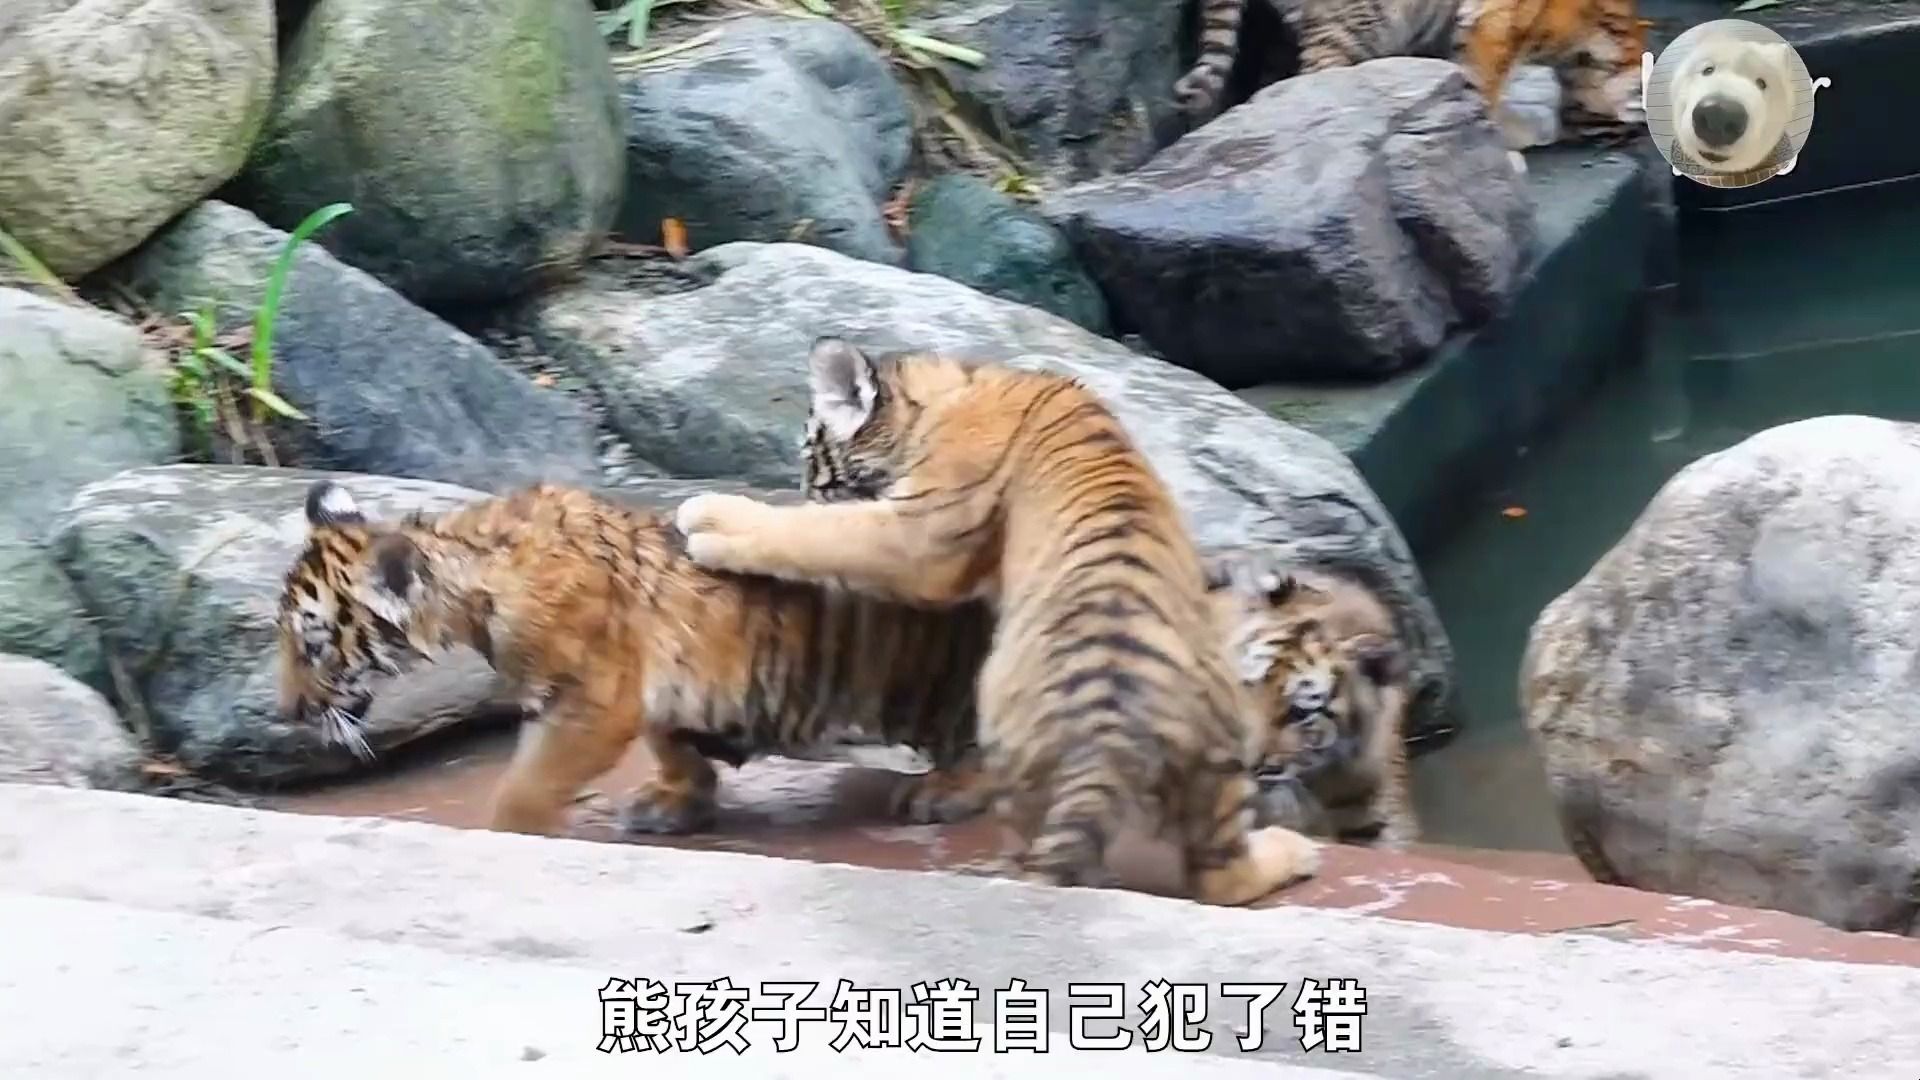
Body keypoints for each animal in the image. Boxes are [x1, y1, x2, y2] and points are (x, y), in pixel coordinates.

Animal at [274, 479, 998, 838]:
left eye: (314, 646)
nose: (286, 712)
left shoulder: (592, 701)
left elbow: (527, 788)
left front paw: (511, 836)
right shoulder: (649, 689)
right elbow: (670, 740)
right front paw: (678, 801)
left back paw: (944, 792)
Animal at [672, 337, 1321, 906]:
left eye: (819, 474)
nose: (806, 487)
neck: (948, 393)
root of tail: (1112, 740)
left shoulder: (919, 530)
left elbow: (814, 534)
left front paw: (711, 519)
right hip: (1222, 760)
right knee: (1220, 877)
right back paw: (1293, 851)